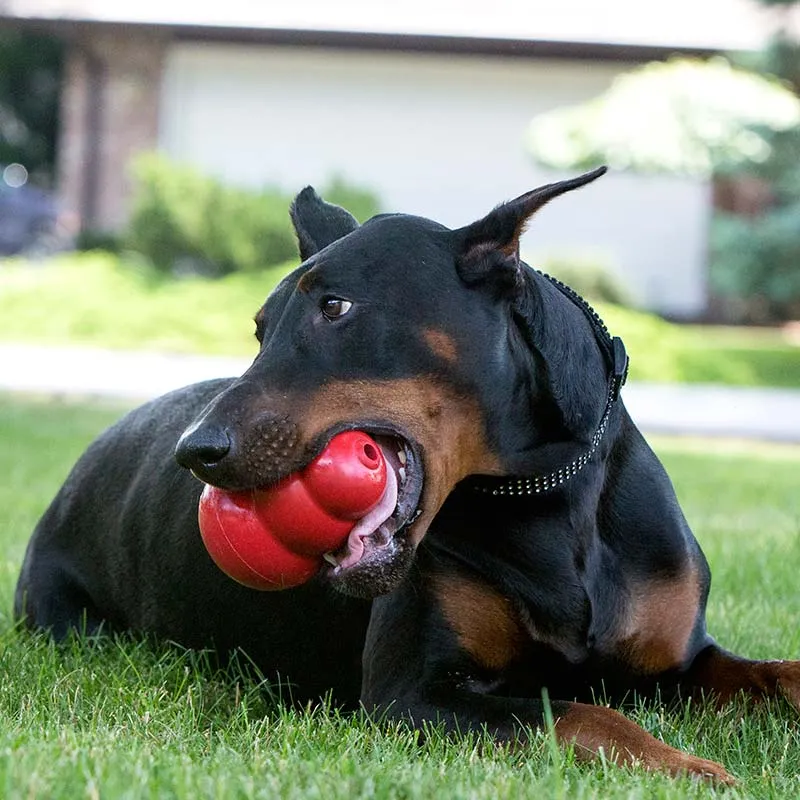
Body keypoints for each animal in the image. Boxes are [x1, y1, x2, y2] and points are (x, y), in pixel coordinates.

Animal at [14, 166, 800, 780]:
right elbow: (582, 713)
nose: (195, 450)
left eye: (337, 306)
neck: (548, 496)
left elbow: (771, 673)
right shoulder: (411, 696)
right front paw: (692, 767)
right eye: (262, 329)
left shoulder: (680, 661)